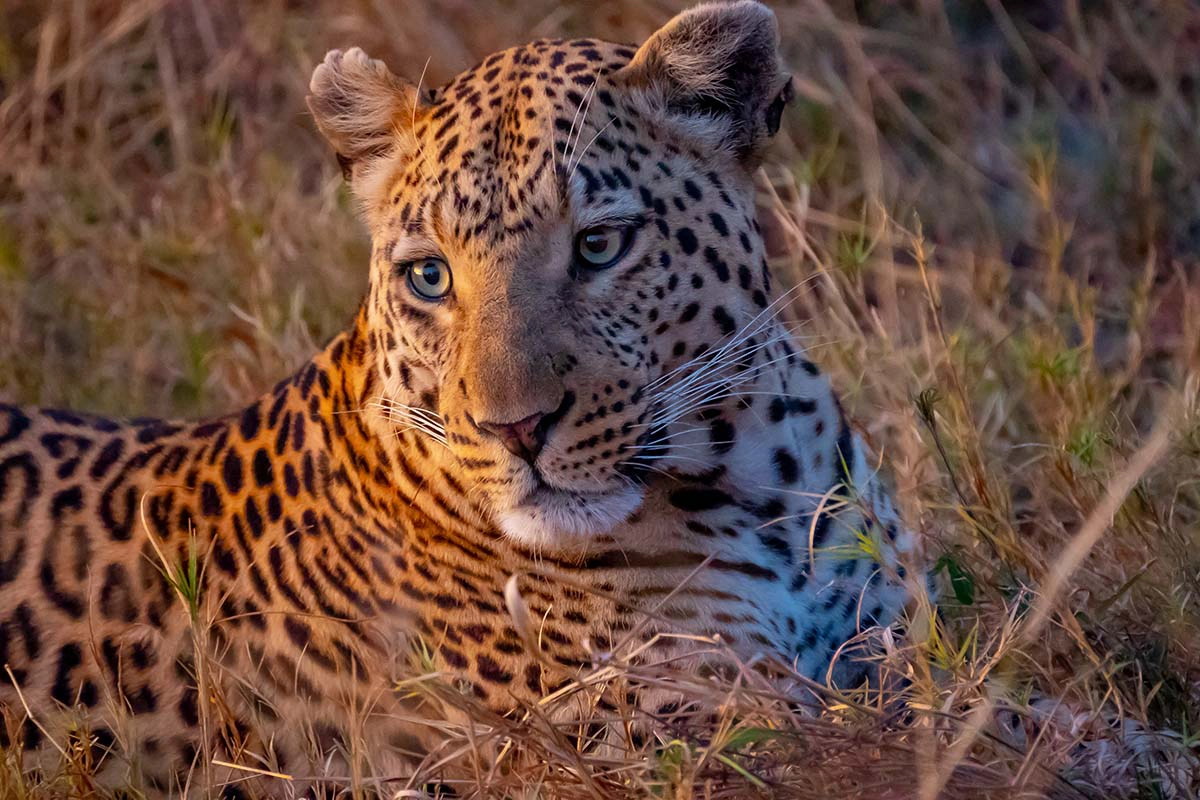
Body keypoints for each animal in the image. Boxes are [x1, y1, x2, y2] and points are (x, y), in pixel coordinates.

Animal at [0, 2, 923, 795]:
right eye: (430, 277)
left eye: (599, 245)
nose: (516, 429)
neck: (759, 475)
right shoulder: (677, 735)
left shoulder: (895, 642)